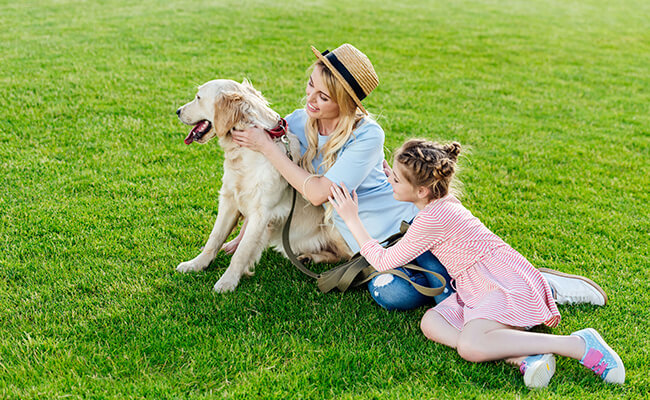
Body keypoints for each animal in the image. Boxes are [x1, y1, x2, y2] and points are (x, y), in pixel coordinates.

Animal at [175, 79, 352, 290]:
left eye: (198, 97)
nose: (177, 111)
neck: (243, 153)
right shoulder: (229, 200)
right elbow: (215, 238)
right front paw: (197, 264)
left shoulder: (262, 212)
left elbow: (242, 252)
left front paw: (227, 282)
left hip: (334, 223)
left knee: (348, 257)